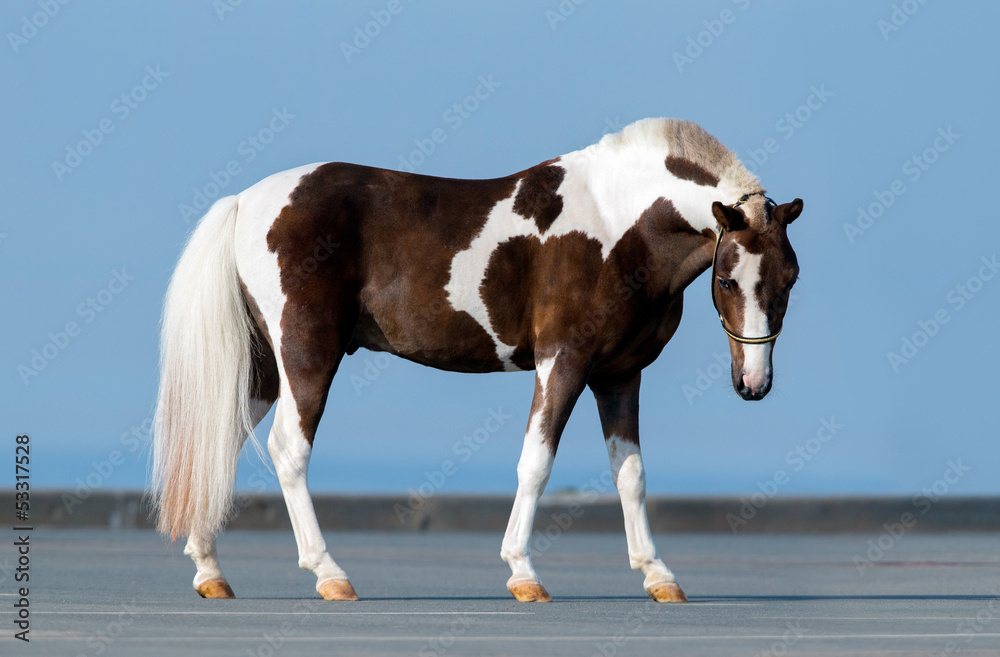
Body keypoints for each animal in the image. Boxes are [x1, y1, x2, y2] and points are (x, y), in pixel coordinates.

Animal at [152, 117, 803, 603]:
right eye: (727, 279)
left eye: (791, 279)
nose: (754, 383)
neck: (620, 227)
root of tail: (246, 201)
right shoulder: (563, 362)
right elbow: (535, 464)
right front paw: (523, 573)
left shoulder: (619, 376)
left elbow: (631, 475)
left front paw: (658, 575)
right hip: (306, 354)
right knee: (290, 448)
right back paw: (329, 573)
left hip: (265, 366)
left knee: (221, 439)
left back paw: (210, 571)